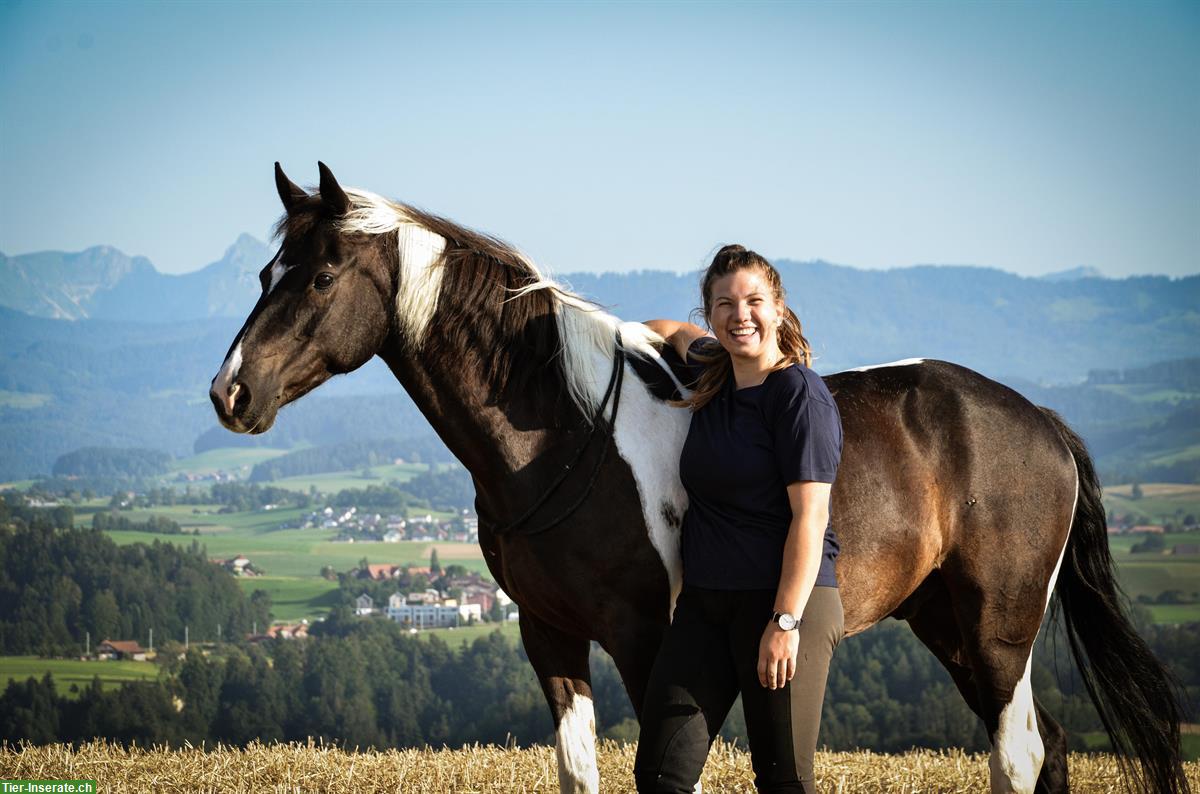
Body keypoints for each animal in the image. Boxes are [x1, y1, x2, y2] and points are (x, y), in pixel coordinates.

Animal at [211, 163, 1185, 794]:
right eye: (265, 271)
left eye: (322, 275)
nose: (232, 393)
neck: (567, 433)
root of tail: (1039, 422)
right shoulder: (548, 636)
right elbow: (580, 772)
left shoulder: (646, 638)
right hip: (945, 622)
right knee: (1044, 746)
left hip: (996, 629)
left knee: (1018, 755)